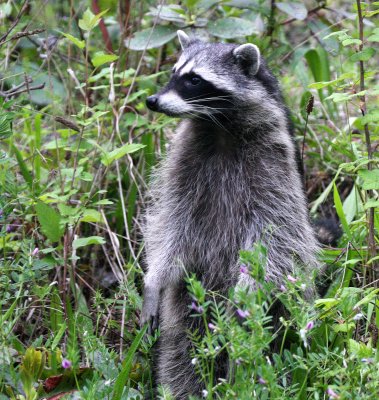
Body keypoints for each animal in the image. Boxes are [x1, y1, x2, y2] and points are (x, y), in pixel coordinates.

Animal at [141, 31, 320, 400]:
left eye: (195, 79)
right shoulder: (185, 162)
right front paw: (154, 278)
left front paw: (247, 290)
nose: (152, 101)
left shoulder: (275, 165)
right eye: (174, 72)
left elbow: (276, 235)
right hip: (187, 302)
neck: (219, 125)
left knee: (263, 348)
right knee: (182, 349)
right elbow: (172, 224)